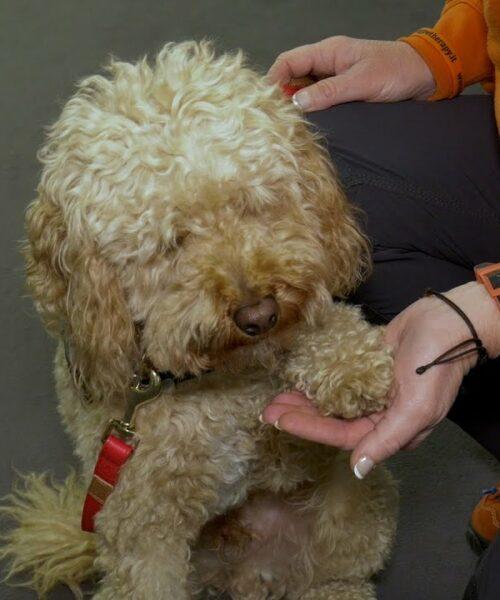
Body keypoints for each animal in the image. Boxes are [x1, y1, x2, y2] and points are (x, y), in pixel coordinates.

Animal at [0, 39, 398, 596]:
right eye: (171, 243)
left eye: (254, 205)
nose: (259, 314)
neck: (204, 385)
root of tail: (251, 574)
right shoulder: (141, 533)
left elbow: (317, 327)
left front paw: (350, 364)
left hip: (358, 512)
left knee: (336, 571)